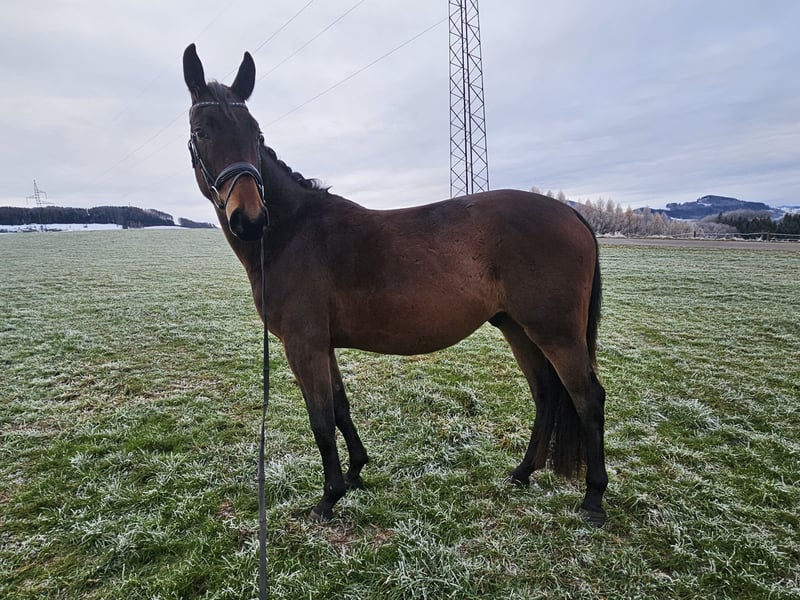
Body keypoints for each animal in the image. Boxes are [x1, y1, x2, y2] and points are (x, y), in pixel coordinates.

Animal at [182, 44, 608, 527]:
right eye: (201, 131)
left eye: (255, 133)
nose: (250, 219)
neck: (292, 233)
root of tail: (571, 212)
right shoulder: (322, 344)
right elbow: (340, 407)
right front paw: (354, 473)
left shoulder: (302, 344)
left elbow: (320, 418)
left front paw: (328, 498)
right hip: (517, 327)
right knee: (546, 393)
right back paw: (522, 473)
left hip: (555, 332)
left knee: (588, 399)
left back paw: (593, 498)